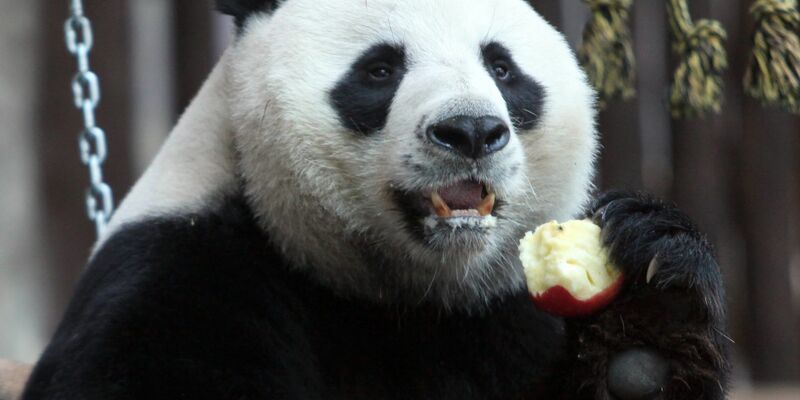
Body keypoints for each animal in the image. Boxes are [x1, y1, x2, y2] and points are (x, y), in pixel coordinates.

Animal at [21, 0, 730, 399]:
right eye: (381, 69)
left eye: (501, 67)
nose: (471, 131)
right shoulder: (182, 271)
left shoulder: (504, 317)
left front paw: (647, 321)